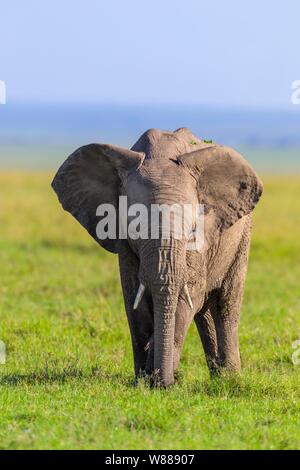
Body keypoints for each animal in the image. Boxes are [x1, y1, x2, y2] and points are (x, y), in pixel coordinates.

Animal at [51, 126, 262, 388]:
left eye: (193, 229)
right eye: (135, 228)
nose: (165, 381)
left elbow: (187, 295)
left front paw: (160, 380)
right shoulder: (125, 245)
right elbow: (134, 298)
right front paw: (144, 379)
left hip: (242, 238)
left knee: (226, 304)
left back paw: (229, 378)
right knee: (204, 312)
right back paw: (218, 376)